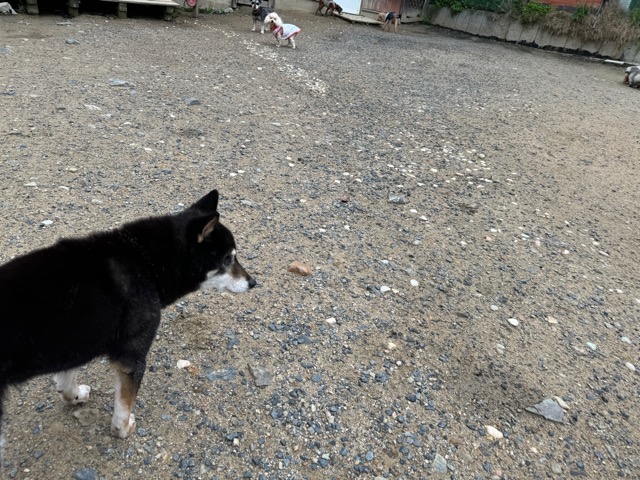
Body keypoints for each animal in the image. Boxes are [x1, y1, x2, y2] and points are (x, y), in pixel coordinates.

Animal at [0, 190, 256, 459]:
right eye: (228, 259)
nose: (253, 282)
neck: (146, 262)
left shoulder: (75, 342)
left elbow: (67, 379)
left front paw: (75, 395)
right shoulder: (131, 357)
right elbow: (124, 405)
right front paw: (122, 429)